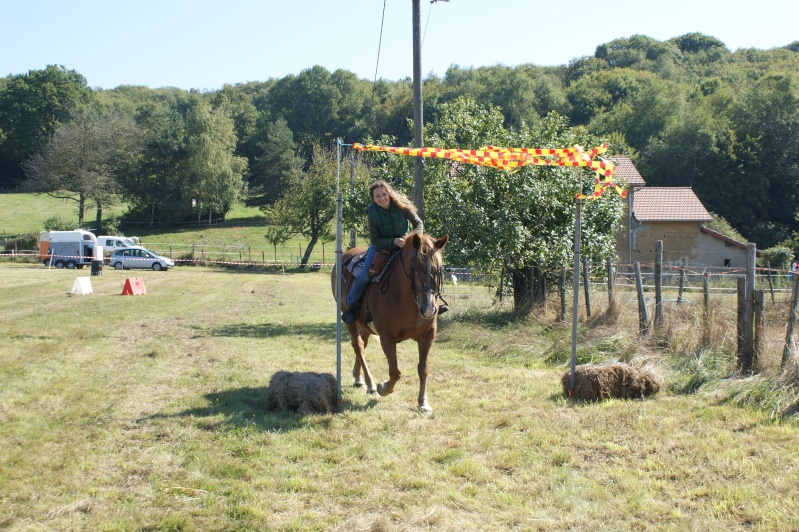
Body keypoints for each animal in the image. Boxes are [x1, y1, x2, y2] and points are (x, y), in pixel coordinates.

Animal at [332, 233, 450, 412]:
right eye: (415, 267)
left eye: (439, 269)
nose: (429, 309)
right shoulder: (386, 337)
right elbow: (395, 371)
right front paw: (383, 388)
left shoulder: (428, 335)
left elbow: (423, 368)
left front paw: (423, 402)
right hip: (348, 318)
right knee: (358, 345)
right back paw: (371, 384)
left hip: (365, 325)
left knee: (362, 344)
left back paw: (359, 378)